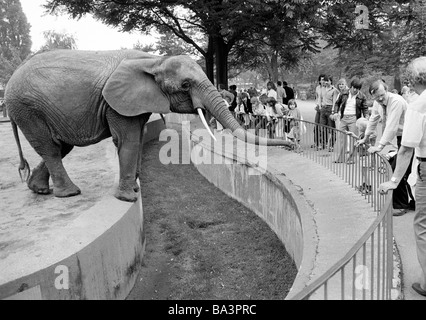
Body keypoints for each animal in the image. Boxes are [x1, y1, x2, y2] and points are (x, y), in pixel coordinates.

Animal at [5, 48, 292, 201]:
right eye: (185, 85)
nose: (290, 144)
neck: (154, 60)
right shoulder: (117, 102)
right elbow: (129, 140)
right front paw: (129, 197)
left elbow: (139, 136)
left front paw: (133, 188)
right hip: (28, 109)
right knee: (51, 148)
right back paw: (69, 194)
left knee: (60, 146)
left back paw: (40, 190)